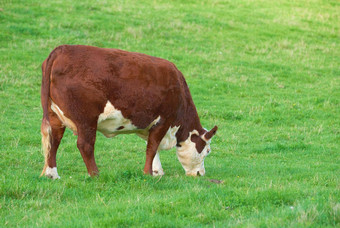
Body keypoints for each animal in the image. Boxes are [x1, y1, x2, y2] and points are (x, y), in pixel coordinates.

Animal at [40, 44, 218, 179]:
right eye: (207, 151)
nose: (200, 173)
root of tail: (61, 50)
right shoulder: (164, 120)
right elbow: (152, 147)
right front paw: (148, 173)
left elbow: (152, 147)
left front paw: (157, 171)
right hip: (86, 119)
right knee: (85, 145)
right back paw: (95, 174)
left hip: (55, 116)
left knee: (53, 141)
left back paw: (52, 174)